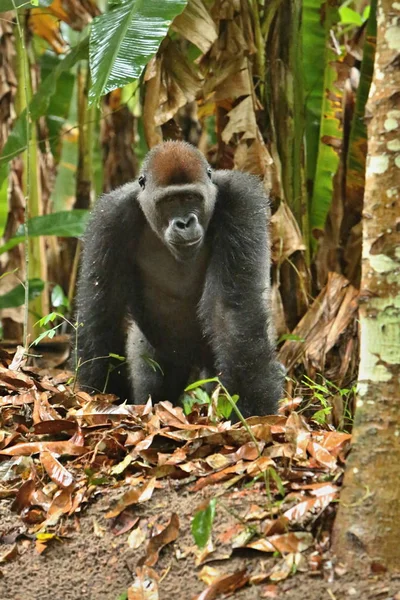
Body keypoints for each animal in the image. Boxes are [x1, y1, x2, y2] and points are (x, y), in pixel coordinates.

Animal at [73, 140, 282, 418]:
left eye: (191, 198)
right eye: (170, 200)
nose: (184, 222)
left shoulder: (241, 200)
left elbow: (233, 313)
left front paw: (254, 412)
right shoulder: (109, 218)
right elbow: (102, 314)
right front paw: (105, 397)